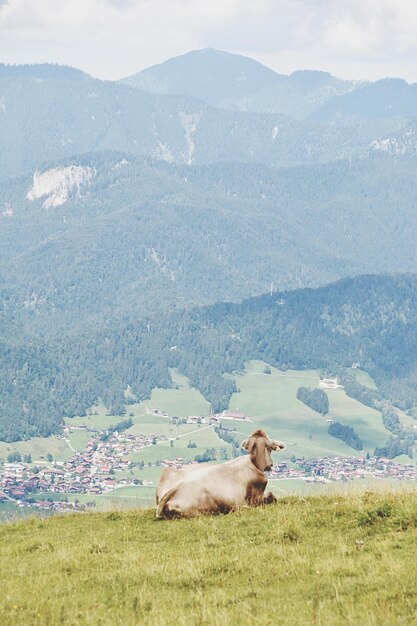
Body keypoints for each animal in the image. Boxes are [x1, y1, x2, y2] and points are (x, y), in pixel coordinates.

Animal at [156, 426, 286, 520]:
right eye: (270, 449)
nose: (270, 465)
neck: (253, 463)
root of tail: (175, 489)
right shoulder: (256, 497)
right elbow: (271, 496)